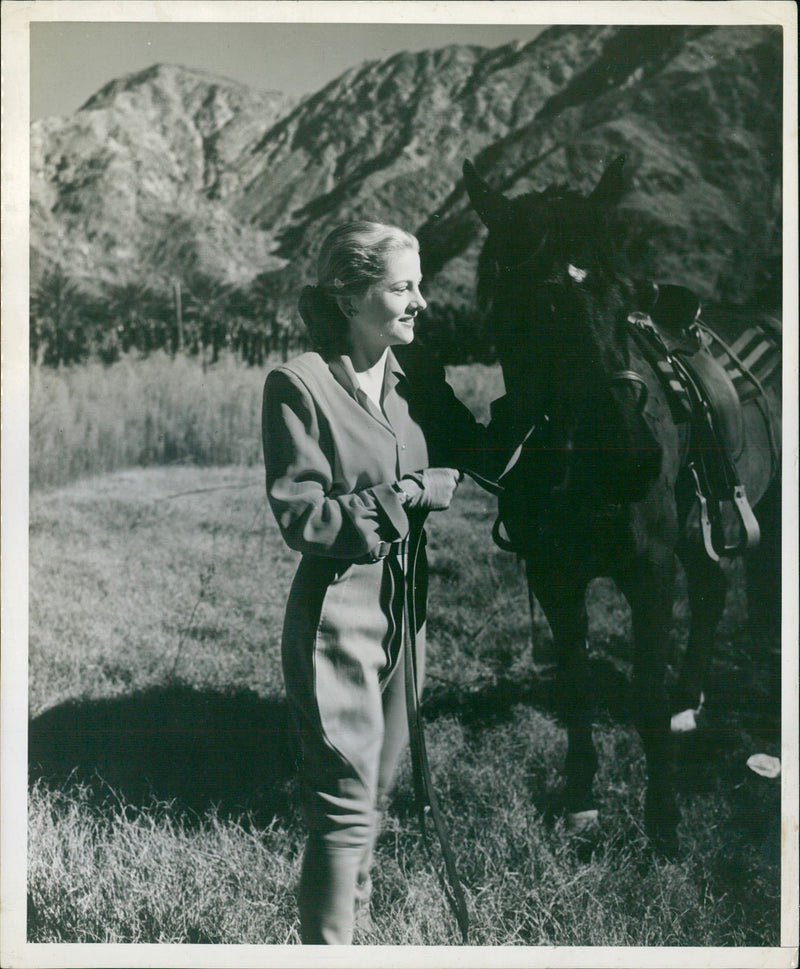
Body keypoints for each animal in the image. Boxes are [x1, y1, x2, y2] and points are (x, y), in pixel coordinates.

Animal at [462, 157, 780, 856]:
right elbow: (576, 684)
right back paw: (691, 698)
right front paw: (582, 798)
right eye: (538, 302)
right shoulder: (553, 576)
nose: (632, 457)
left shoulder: (649, 573)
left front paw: (663, 822)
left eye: (628, 298)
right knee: (714, 588)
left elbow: (644, 695)